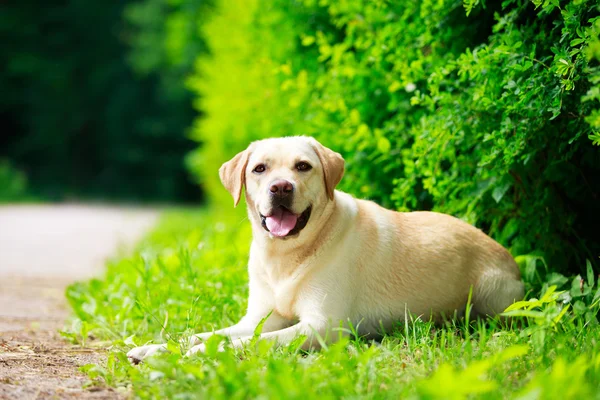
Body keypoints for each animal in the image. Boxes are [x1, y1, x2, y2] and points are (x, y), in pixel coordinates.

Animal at [125, 136, 520, 364]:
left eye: (303, 166)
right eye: (259, 169)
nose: (281, 187)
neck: (287, 257)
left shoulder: (323, 327)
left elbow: (252, 343)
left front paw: (199, 354)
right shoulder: (257, 318)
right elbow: (205, 334)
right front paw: (157, 348)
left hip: (491, 293)